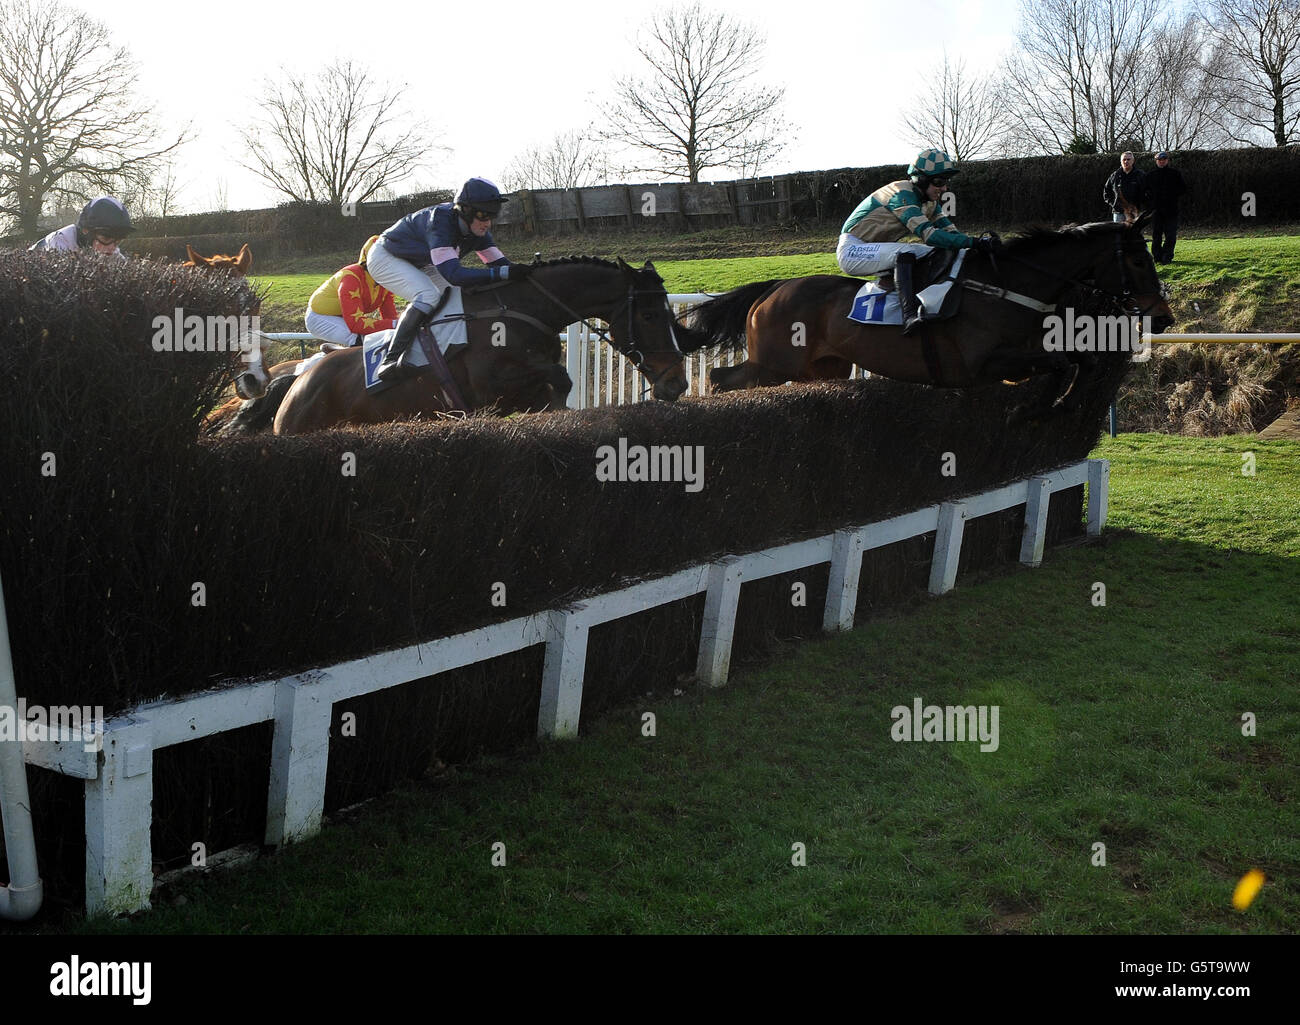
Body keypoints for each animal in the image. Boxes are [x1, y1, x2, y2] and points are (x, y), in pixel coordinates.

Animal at [269, 256, 686, 437]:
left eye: (669, 311)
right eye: (649, 315)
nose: (677, 382)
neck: (520, 310)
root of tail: (298, 382)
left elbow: (555, 383)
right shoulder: (491, 388)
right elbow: (560, 377)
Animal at [696, 219, 1175, 403]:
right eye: (1138, 260)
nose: (1163, 317)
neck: (1006, 285)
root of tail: (774, 288)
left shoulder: (1017, 359)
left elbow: (1078, 359)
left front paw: (1065, 402)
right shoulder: (978, 366)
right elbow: (1059, 364)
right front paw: (1042, 406)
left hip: (821, 368)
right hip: (774, 363)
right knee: (721, 380)